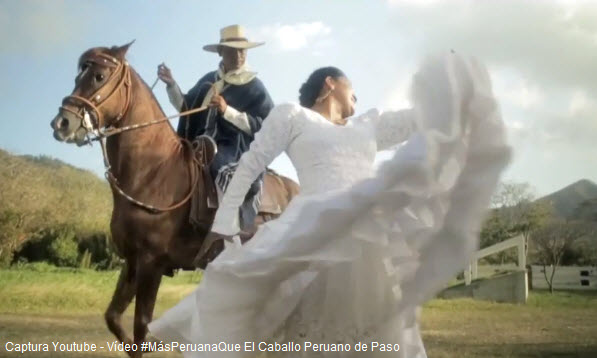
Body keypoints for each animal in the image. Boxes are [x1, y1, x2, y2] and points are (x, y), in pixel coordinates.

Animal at [50, 43, 296, 356]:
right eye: (77, 75)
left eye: (99, 76)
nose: (61, 123)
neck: (155, 173)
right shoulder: (132, 261)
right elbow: (114, 318)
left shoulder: (151, 263)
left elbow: (142, 326)